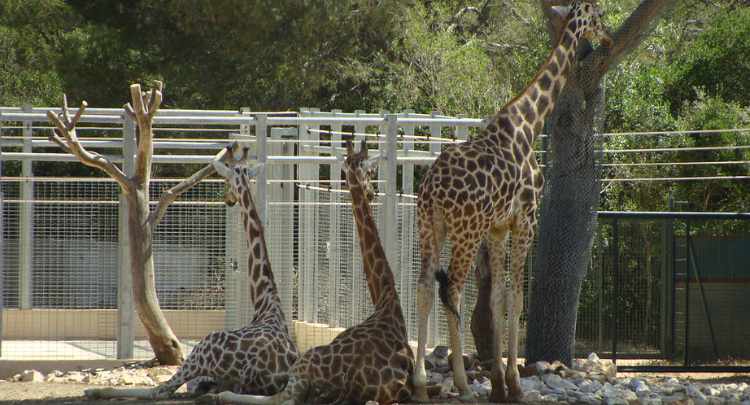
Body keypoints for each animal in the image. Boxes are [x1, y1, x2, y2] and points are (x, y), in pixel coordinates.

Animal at [86, 142, 298, 398]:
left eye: (226, 179)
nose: (228, 199)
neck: (266, 301)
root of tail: (270, 371)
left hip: (205, 347)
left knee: (162, 390)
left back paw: (95, 390)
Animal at [204, 140, 418, 404]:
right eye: (370, 172)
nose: (371, 192)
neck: (386, 299)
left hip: (300, 367)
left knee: (278, 398)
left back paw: (217, 393)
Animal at [414, 1, 612, 402]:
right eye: (598, 13)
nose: (609, 37)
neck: (529, 123)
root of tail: (432, 190)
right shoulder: (525, 220)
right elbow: (517, 297)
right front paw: (514, 384)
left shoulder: (498, 227)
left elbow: (497, 298)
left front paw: (498, 384)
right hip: (465, 231)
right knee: (451, 289)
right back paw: (461, 383)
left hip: (431, 226)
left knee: (425, 286)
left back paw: (421, 384)